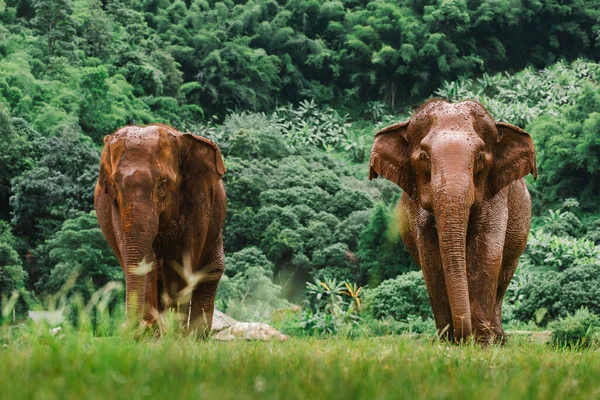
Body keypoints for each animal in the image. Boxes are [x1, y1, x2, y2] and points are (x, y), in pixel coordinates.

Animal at [94, 123, 227, 336]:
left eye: (162, 185)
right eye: (115, 185)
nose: (138, 328)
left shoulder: (197, 204)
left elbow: (179, 265)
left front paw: (173, 335)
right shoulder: (116, 210)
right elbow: (146, 264)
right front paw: (153, 334)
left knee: (210, 272)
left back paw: (194, 337)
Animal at [368, 99, 536, 344]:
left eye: (480, 157)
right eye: (424, 157)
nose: (463, 338)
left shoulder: (496, 196)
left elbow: (487, 253)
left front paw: (482, 344)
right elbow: (431, 259)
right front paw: (449, 343)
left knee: (502, 278)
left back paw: (498, 340)